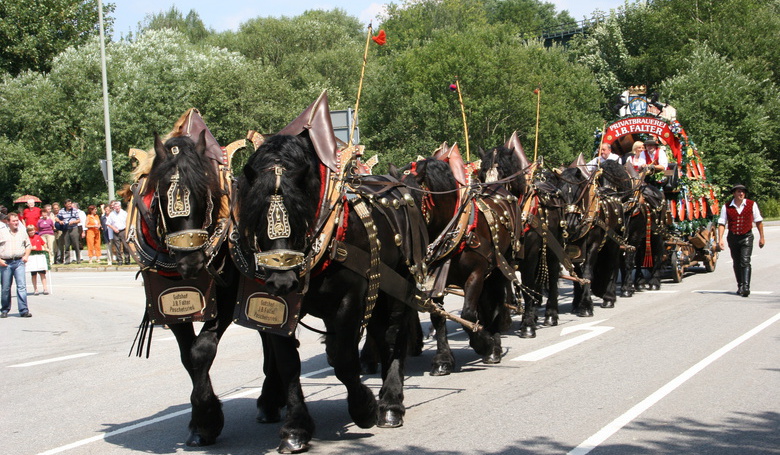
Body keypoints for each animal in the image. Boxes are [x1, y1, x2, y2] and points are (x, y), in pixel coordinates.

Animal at [140, 131, 238, 446]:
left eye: (204, 191)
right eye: (160, 194)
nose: (190, 260)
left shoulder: (226, 299)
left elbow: (201, 351)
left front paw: (207, 419)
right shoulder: (166, 306)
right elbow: (187, 357)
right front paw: (200, 421)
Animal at [236, 133, 420, 452]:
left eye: (300, 212)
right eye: (255, 214)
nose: (282, 280)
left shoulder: (350, 300)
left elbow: (345, 360)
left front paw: (364, 408)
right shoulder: (279, 310)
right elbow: (289, 365)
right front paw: (296, 428)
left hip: (398, 283)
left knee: (393, 336)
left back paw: (390, 402)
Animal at [402, 158, 516, 378]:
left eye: (412, 202)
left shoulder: (476, 274)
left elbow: (468, 314)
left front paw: (485, 344)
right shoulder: (435, 280)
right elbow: (437, 317)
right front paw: (443, 360)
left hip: (500, 266)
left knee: (498, 300)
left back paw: (495, 345)